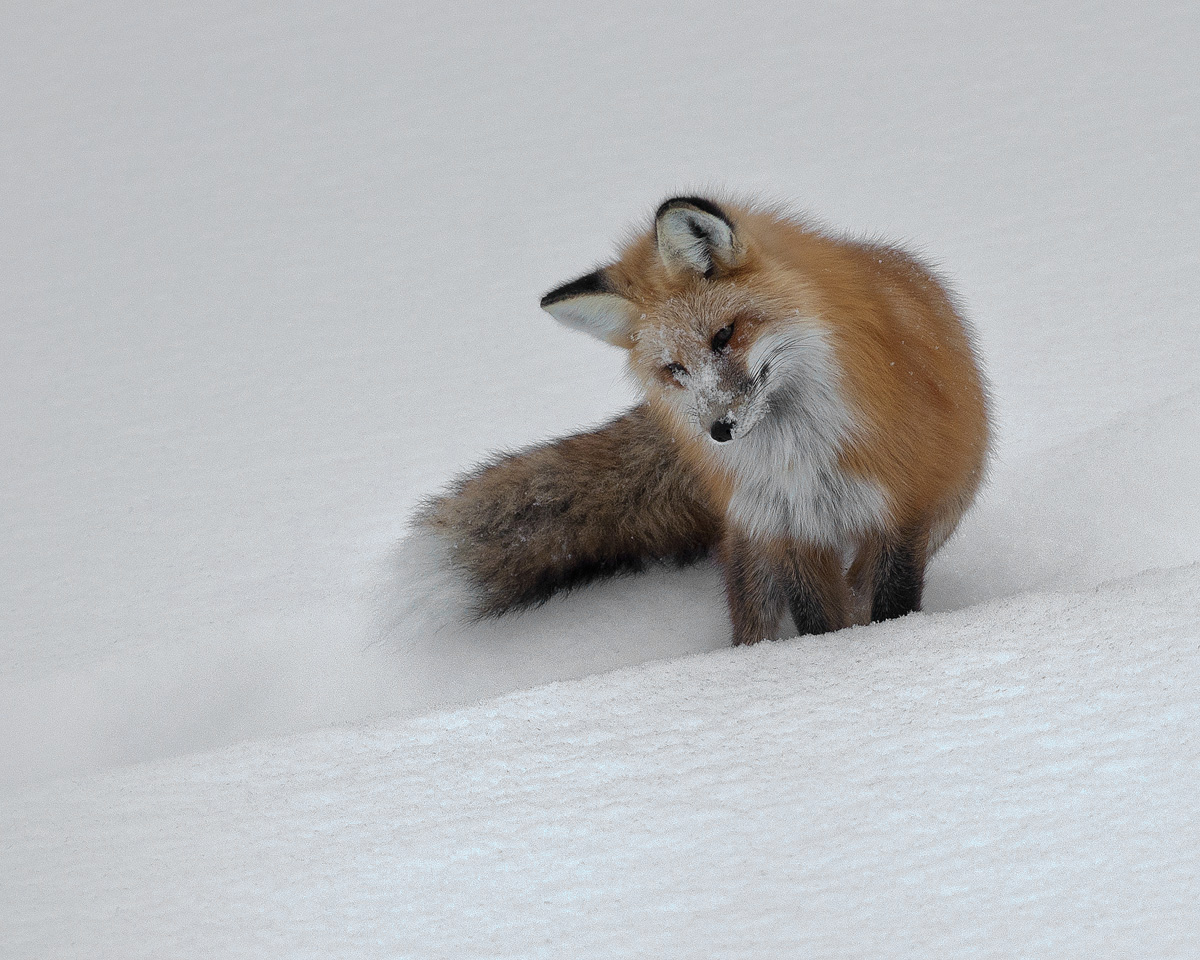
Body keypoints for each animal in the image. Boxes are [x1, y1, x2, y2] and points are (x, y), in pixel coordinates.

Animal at [418, 195, 991, 645]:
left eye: (724, 336)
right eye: (675, 369)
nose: (719, 431)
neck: (800, 458)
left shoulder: (901, 511)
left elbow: (890, 606)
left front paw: (886, 647)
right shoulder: (790, 531)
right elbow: (819, 623)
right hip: (753, 553)